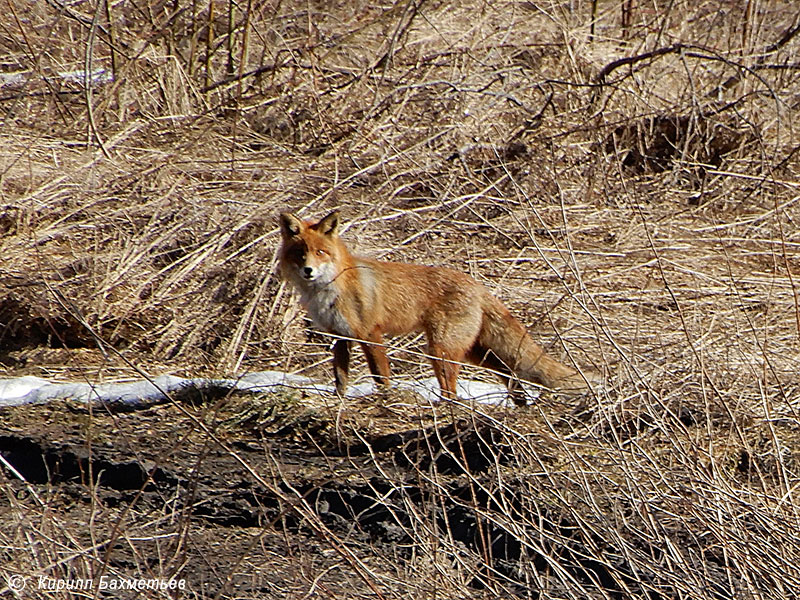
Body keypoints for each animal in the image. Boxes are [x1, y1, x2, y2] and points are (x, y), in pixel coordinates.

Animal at [278, 210, 592, 404]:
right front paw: (340, 402)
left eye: (320, 252)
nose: (308, 270)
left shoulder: (370, 334)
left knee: (453, 391)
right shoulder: (341, 336)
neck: (332, 287)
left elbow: (381, 376)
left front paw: (385, 401)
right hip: (473, 351)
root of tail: (478, 285)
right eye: (300, 253)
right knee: (507, 370)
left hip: (441, 349)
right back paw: (519, 402)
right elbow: (340, 378)